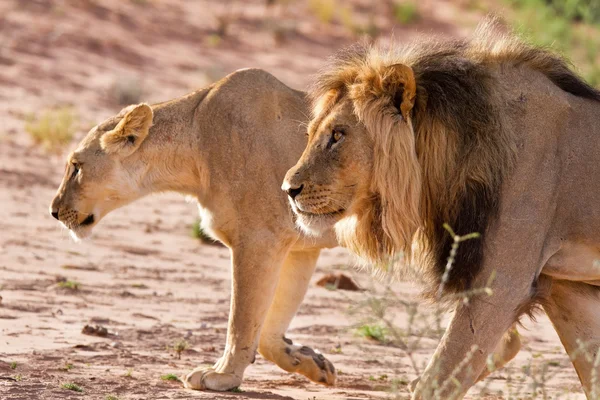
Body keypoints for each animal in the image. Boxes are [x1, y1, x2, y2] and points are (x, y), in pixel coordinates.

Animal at [49, 69, 340, 390]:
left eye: (76, 166)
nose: (53, 211)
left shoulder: (259, 239)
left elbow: (241, 319)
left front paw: (223, 375)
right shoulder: (300, 246)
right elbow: (268, 328)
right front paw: (311, 362)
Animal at [284, 19, 600, 400]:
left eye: (338, 135)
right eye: (311, 133)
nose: (288, 189)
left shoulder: (500, 286)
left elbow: (438, 379)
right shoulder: (568, 291)